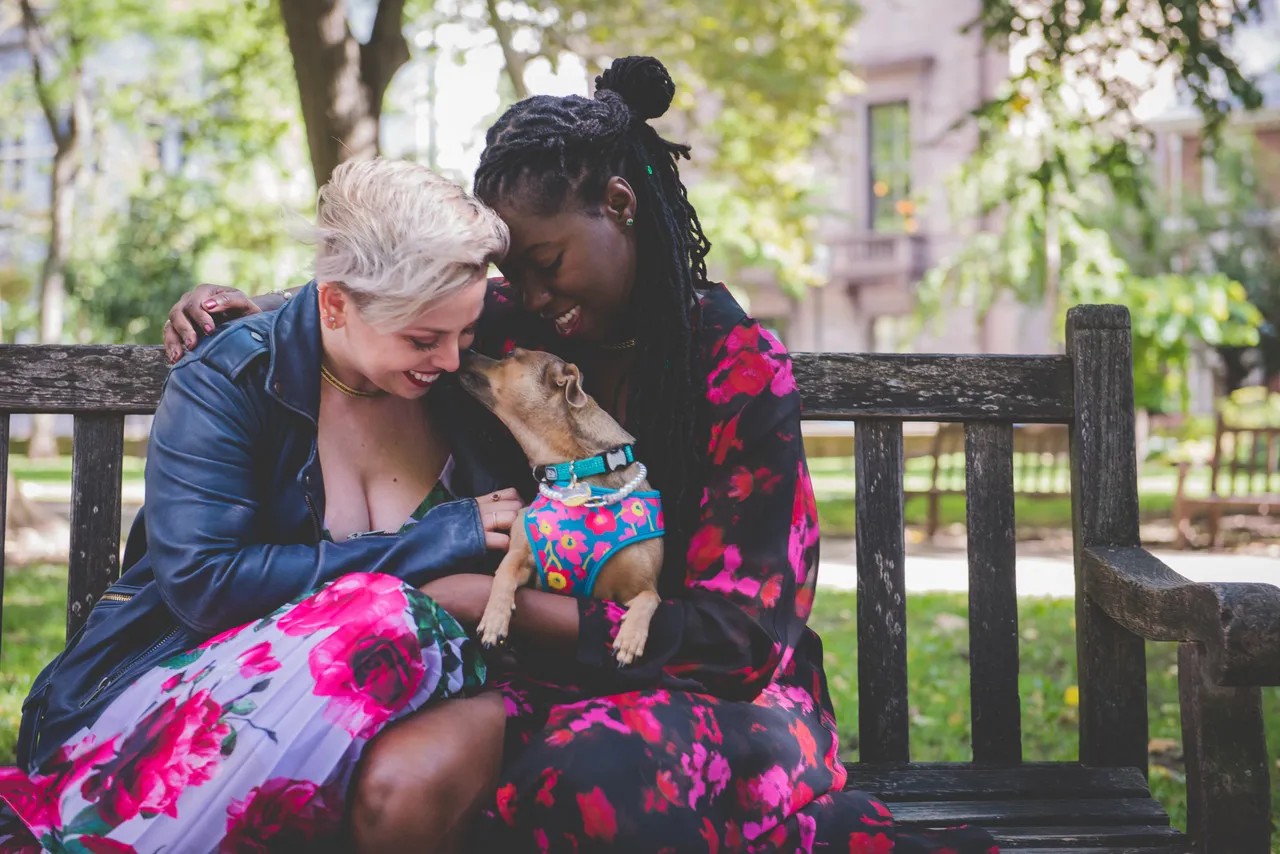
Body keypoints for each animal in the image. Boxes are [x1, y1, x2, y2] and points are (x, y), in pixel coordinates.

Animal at [460, 348, 665, 665]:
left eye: (511, 354)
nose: (466, 349)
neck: (576, 467)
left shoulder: (642, 586)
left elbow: (648, 599)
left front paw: (630, 639)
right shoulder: (523, 556)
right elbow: (505, 571)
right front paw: (494, 619)